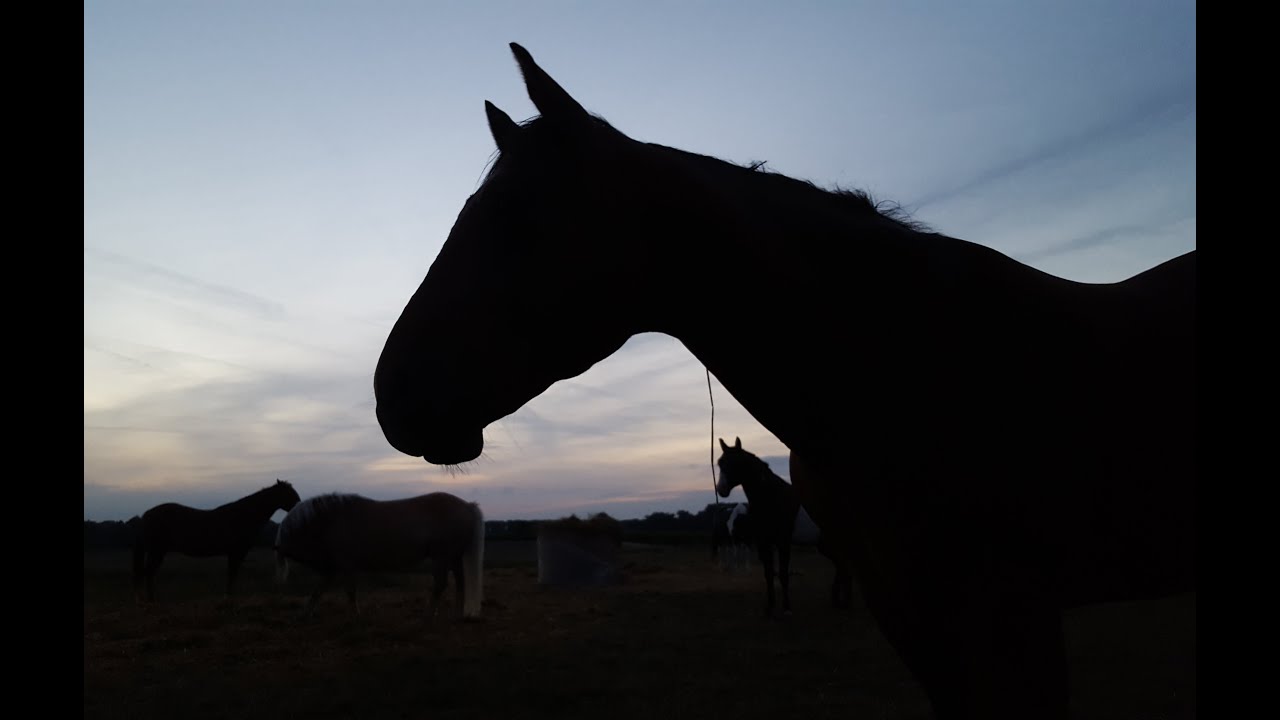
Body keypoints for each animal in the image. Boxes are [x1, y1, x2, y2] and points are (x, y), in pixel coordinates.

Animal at [132, 479, 301, 603]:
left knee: (149, 573)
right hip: (157, 550)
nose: (299, 506)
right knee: (149, 572)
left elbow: (232, 574)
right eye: (289, 494)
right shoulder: (236, 552)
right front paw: (228, 598)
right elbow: (232, 574)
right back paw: (151, 601)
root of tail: (146, 515)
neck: (242, 516)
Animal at [273, 491, 485, 619]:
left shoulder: (345, 566)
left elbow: (349, 591)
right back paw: (457, 614)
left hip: (441, 557)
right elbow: (318, 591)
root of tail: (467, 506)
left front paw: (355, 615)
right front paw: (305, 613)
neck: (333, 520)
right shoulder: (332, 569)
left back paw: (428, 614)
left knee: (441, 584)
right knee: (460, 582)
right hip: (454, 557)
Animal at [716, 437, 800, 617]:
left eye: (734, 462)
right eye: (720, 463)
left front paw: (787, 609)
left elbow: (783, 574)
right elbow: (768, 574)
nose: (721, 489)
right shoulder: (764, 542)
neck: (773, 498)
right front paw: (770, 607)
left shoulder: (783, 542)